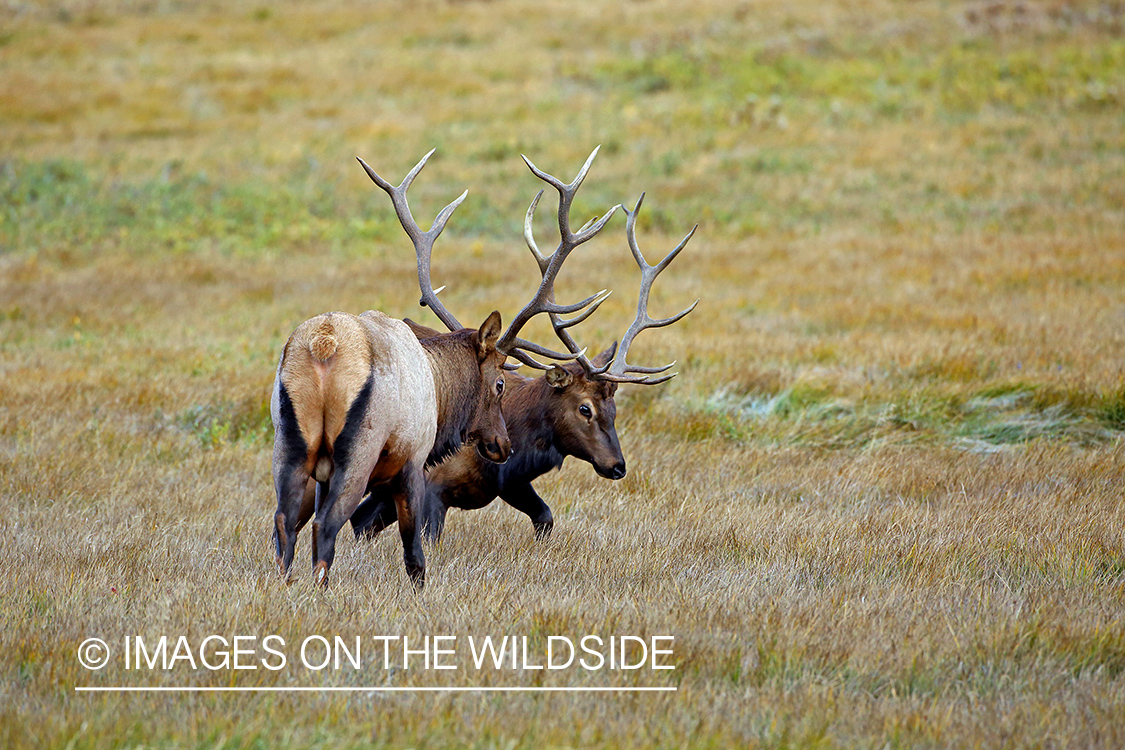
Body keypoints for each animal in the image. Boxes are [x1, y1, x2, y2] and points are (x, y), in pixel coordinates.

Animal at [270, 149, 616, 589]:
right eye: (500, 382)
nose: (503, 446)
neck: (439, 384)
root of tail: (323, 346)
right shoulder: (414, 462)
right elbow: (414, 547)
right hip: (359, 449)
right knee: (325, 524)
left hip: (291, 444)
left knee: (284, 522)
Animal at [351, 148, 693, 546]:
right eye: (585, 408)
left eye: (615, 409)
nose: (618, 466)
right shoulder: (432, 484)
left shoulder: (510, 483)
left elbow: (545, 516)